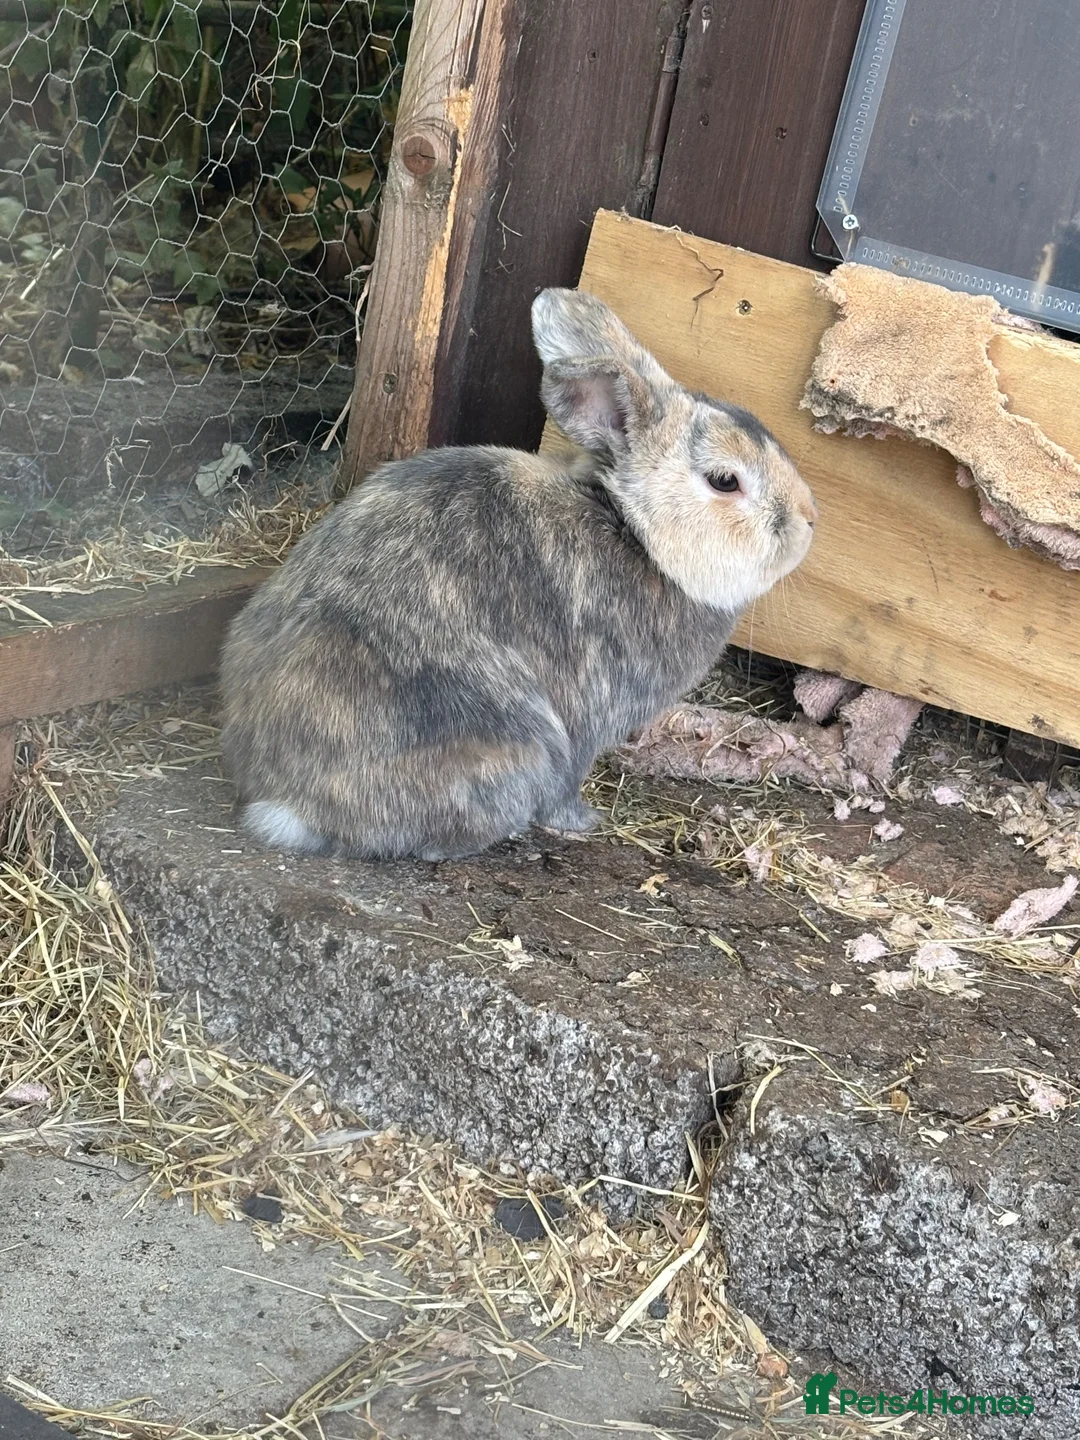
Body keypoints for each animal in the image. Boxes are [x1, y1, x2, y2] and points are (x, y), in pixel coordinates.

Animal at [220, 287, 817, 861]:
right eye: (724, 481)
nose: (809, 521)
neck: (636, 531)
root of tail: (284, 805)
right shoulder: (590, 712)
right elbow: (571, 776)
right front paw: (582, 822)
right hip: (519, 749)